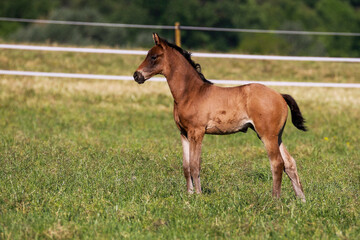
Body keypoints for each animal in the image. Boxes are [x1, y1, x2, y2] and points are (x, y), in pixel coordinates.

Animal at [134, 33, 306, 201]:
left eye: (154, 57)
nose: (137, 75)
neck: (191, 93)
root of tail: (280, 95)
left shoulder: (197, 132)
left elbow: (195, 165)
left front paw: (198, 196)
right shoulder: (183, 133)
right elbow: (186, 166)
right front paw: (189, 195)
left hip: (267, 135)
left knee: (277, 163)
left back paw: (275, 200)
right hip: (276, 136)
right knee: (290, 163)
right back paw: (301, 200)